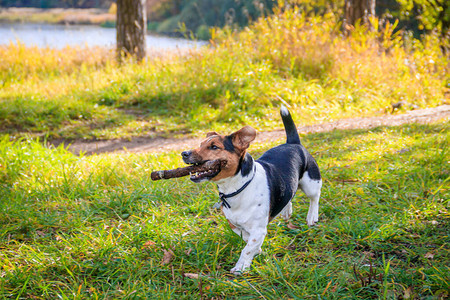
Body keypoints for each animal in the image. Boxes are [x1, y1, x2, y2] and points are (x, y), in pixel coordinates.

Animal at [181, 106, 322, 274]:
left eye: (214, 147)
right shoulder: (235, 225)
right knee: (289, 195)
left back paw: (312, 216)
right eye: (200, 144)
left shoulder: (258, 229)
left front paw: (241, 266)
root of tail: (293, 143)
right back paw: (286, 211)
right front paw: (258, 250)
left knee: (315, 198)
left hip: (310, 183)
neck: (237, 188)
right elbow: (247, 240)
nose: (184, 153)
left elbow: (246, 249)